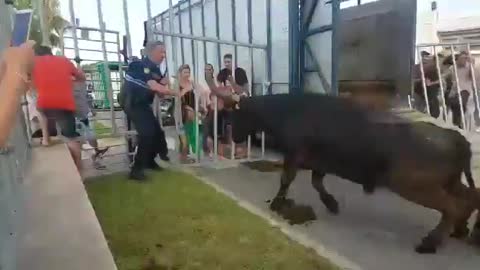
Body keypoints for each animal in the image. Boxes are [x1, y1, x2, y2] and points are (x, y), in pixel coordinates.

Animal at [232, 94, 480, 254]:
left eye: (236, 115)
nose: (234, 136)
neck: (290, 110)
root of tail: (454, 136)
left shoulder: (294, 155)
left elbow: (287, 179)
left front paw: (276, 203)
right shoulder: (319, 163)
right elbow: (316, 182)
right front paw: (331, 204)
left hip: (415, 186)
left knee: (452, 206)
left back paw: (430, 243)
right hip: (448, 182)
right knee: (469, 198)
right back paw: (464, 232)